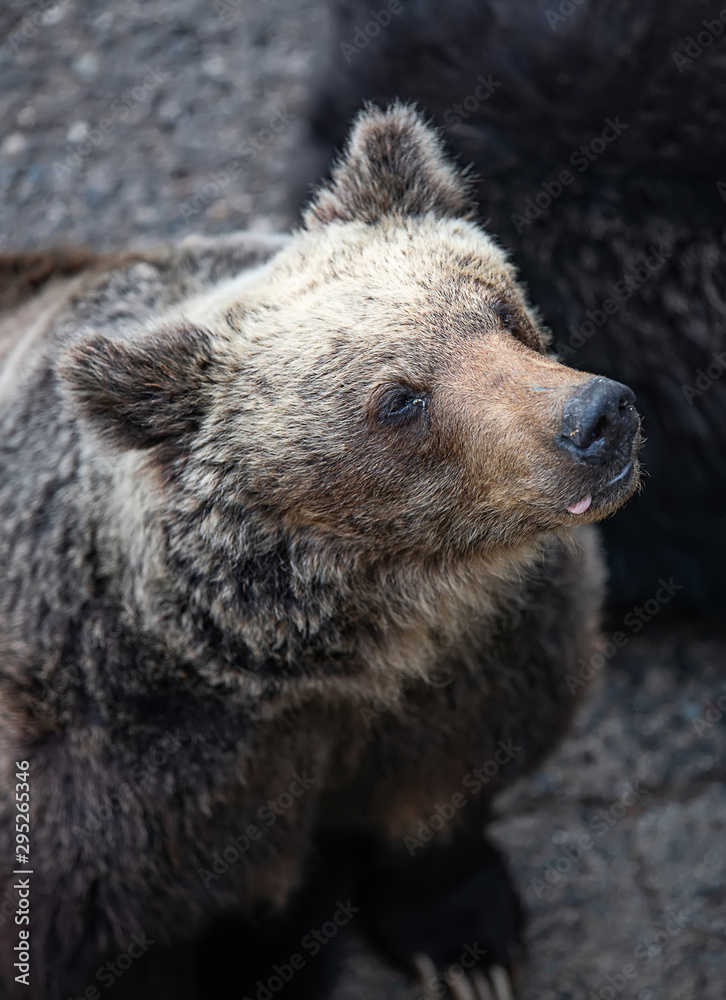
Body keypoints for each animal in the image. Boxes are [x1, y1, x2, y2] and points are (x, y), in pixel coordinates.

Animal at [0, 105, 640, 1000]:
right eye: (399, 398)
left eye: (499, 309)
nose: (597, 418)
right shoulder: (123, 778)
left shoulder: (476, 664)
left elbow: (447, 789)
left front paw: (466, 947)